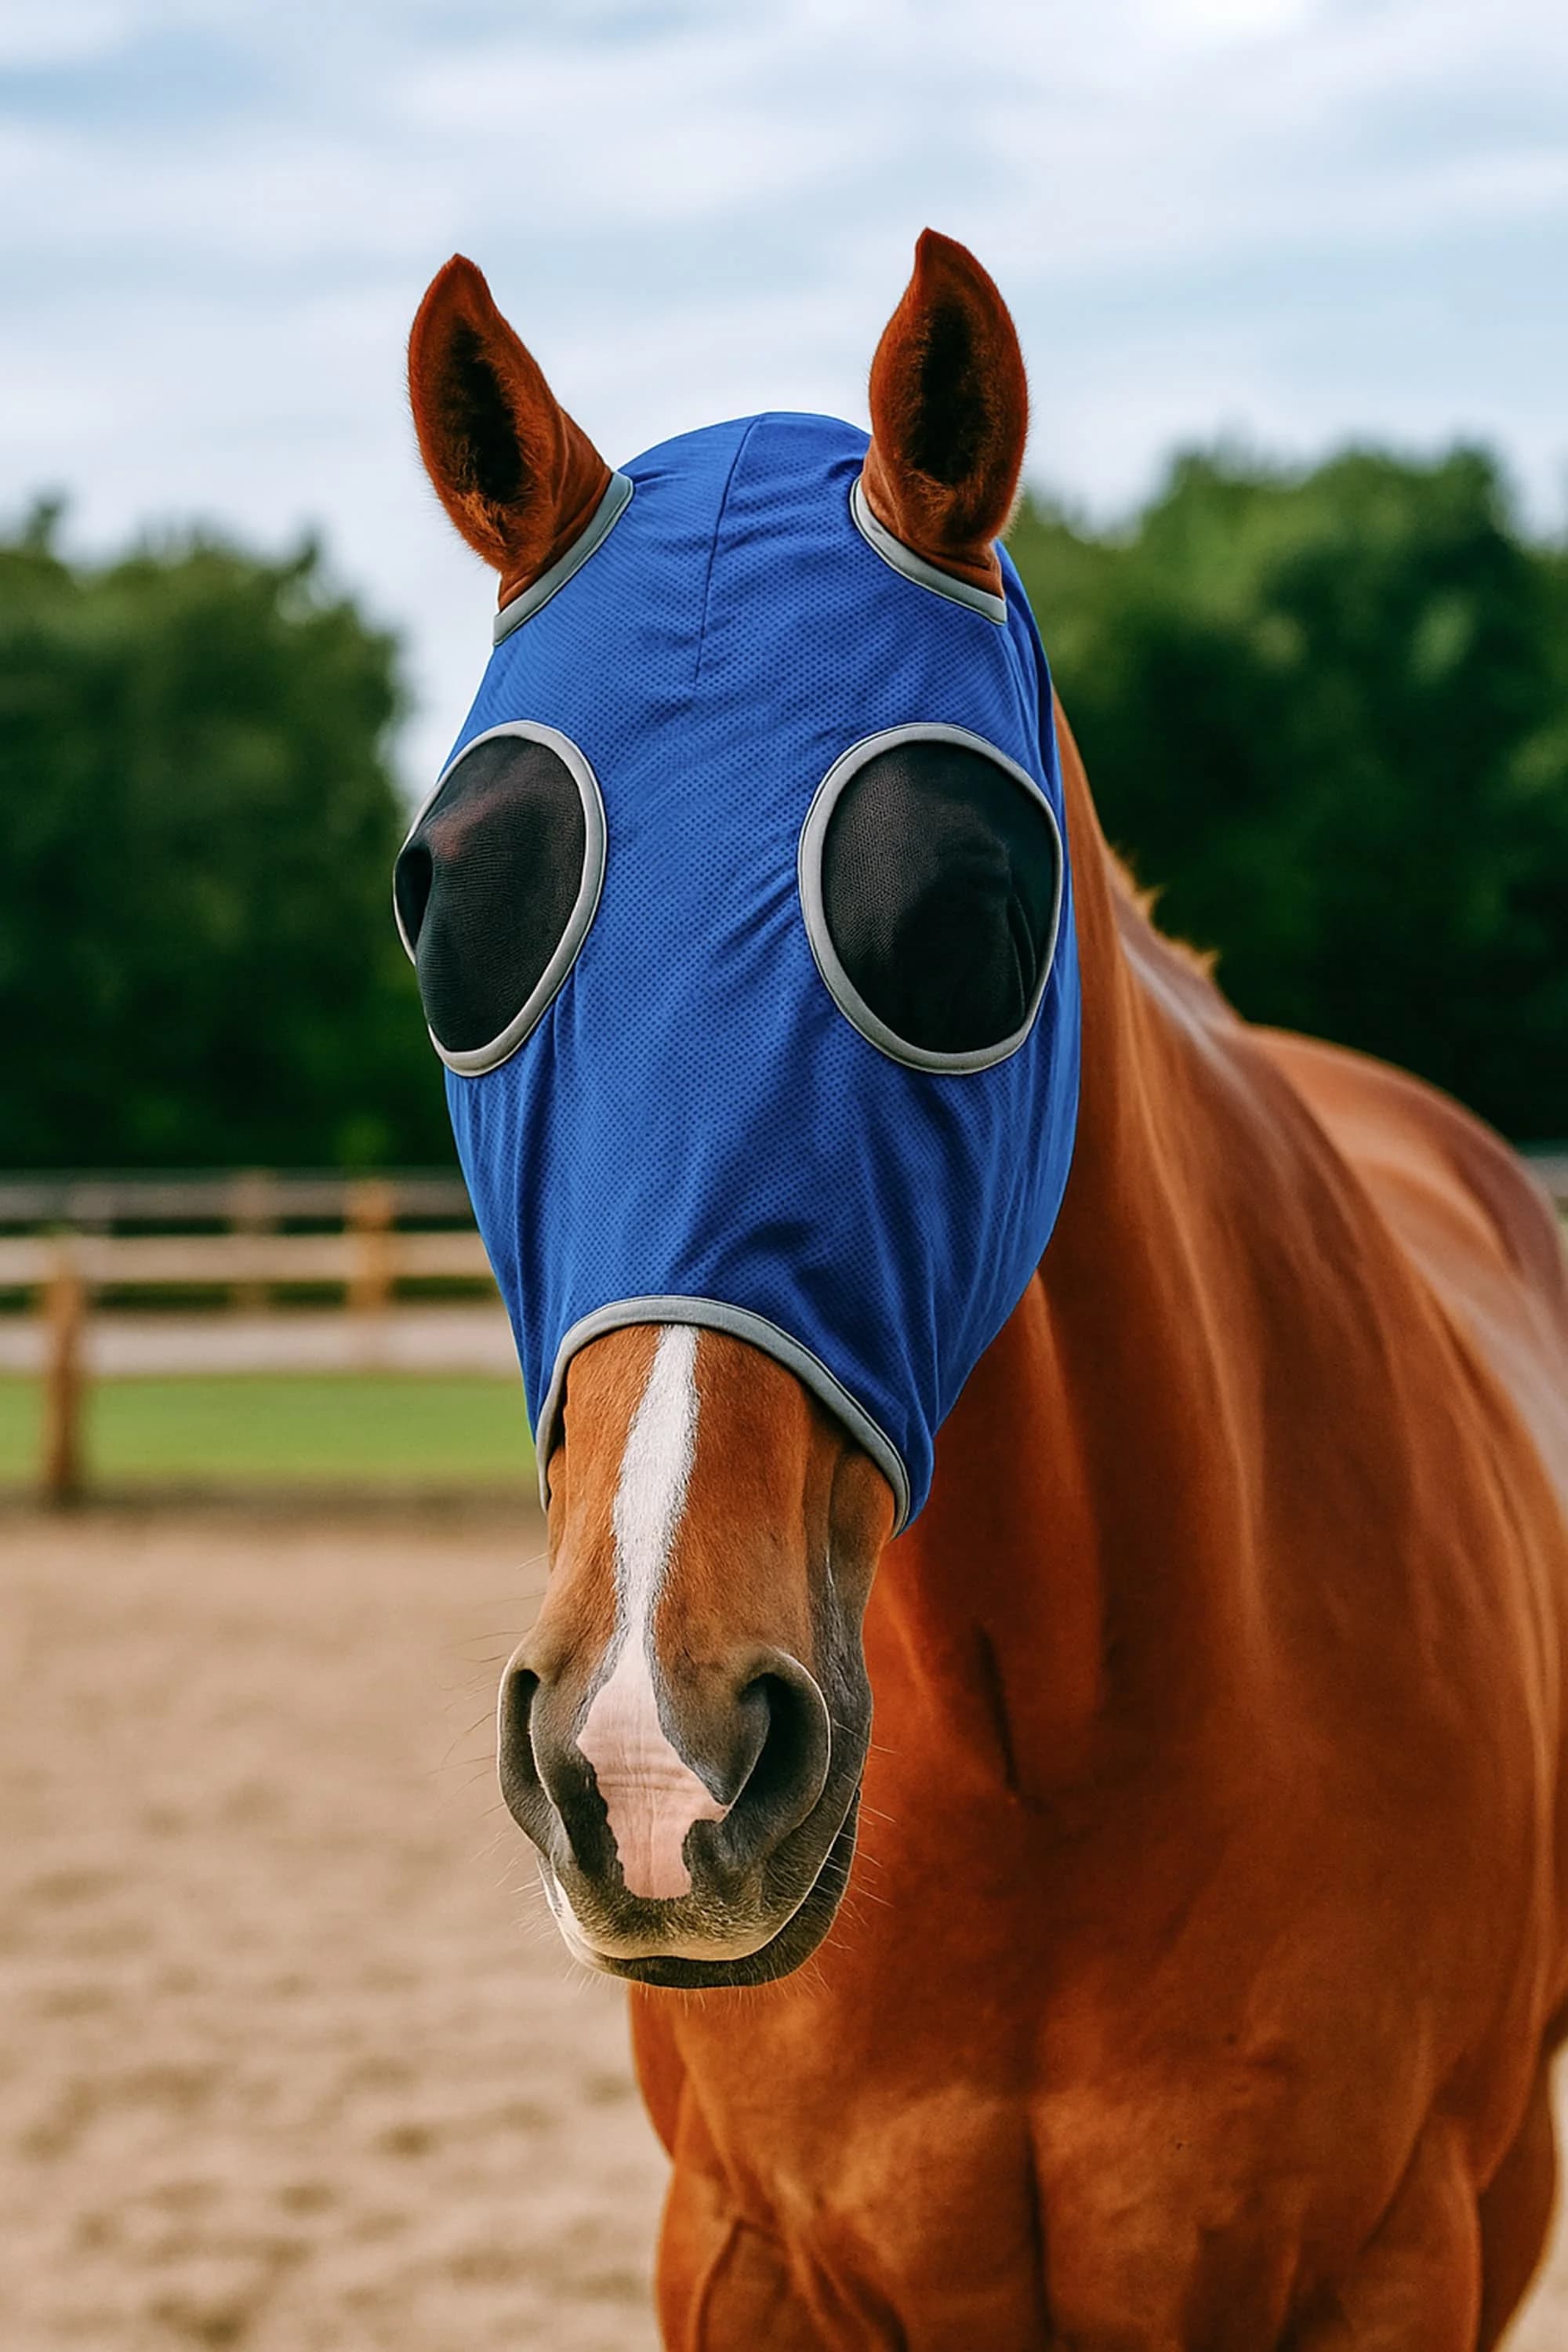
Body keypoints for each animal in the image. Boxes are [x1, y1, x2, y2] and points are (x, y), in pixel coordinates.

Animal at [398, 232, 1568, 2347]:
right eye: (445, 911)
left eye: (962, 906)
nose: (647, 1754)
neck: (1055, 1754)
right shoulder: (740, 2255)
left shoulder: (1396, 2251)